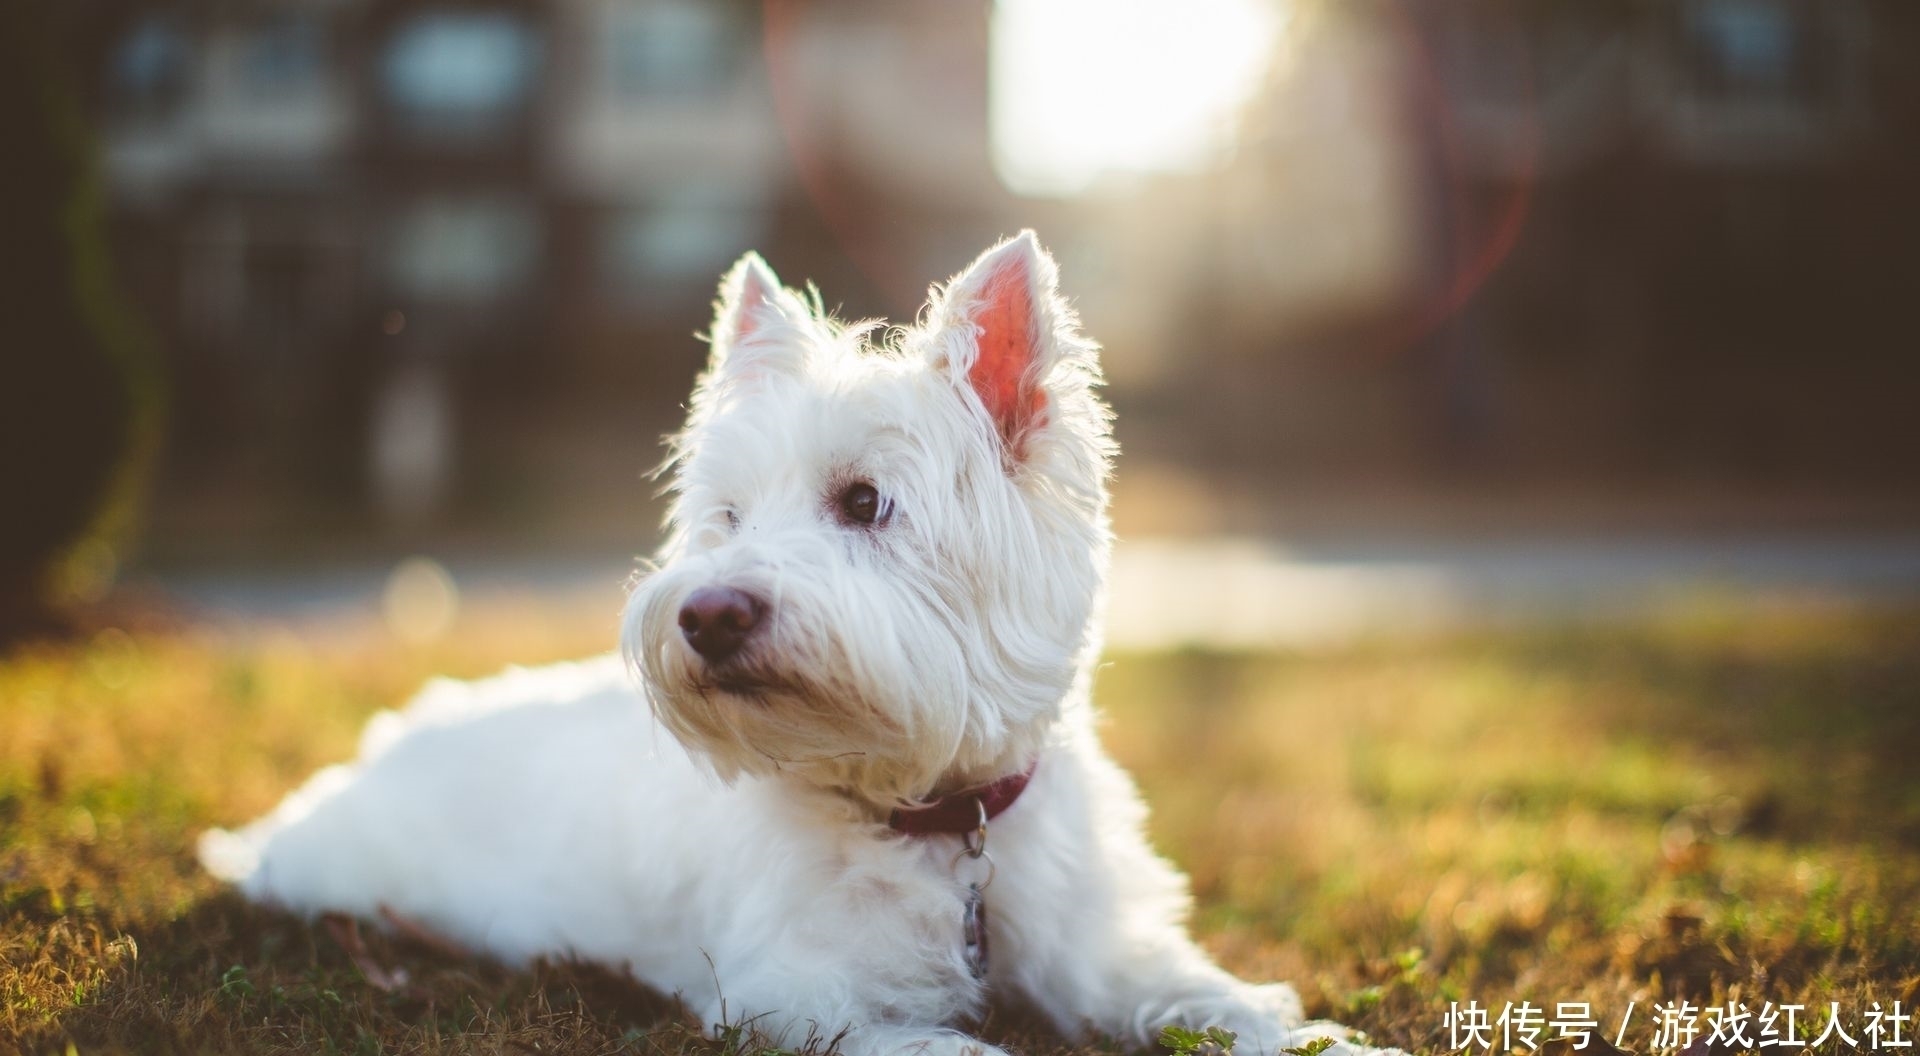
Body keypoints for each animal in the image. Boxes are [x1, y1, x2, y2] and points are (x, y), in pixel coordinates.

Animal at [198, 234, 1397, 1056]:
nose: (708, 615)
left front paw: (1327, 1036)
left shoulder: (1103, 951)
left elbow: (1215, 996)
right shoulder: (796, 998)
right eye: (726, 517)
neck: (934, 820)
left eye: (864, 502)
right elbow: (954, 1046)